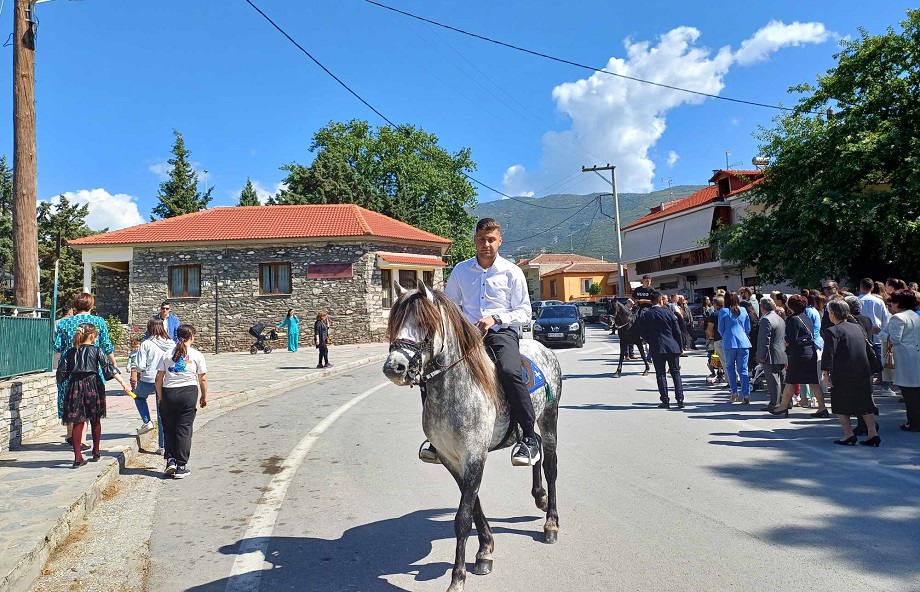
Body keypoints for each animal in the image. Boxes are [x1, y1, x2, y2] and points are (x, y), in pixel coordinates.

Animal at [380, 282, 560, 592]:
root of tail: (541, 348)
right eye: (394, 322)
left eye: (425, 324)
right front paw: (485, 550)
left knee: (550, 465)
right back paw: (539, 494)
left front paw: (457, 579)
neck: (456, 387)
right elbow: (472, 504)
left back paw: (551, 523)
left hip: (550, 417)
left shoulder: (475, 454)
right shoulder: (452, 458)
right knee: (533, 443)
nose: (395, 367)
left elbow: (463, 517)